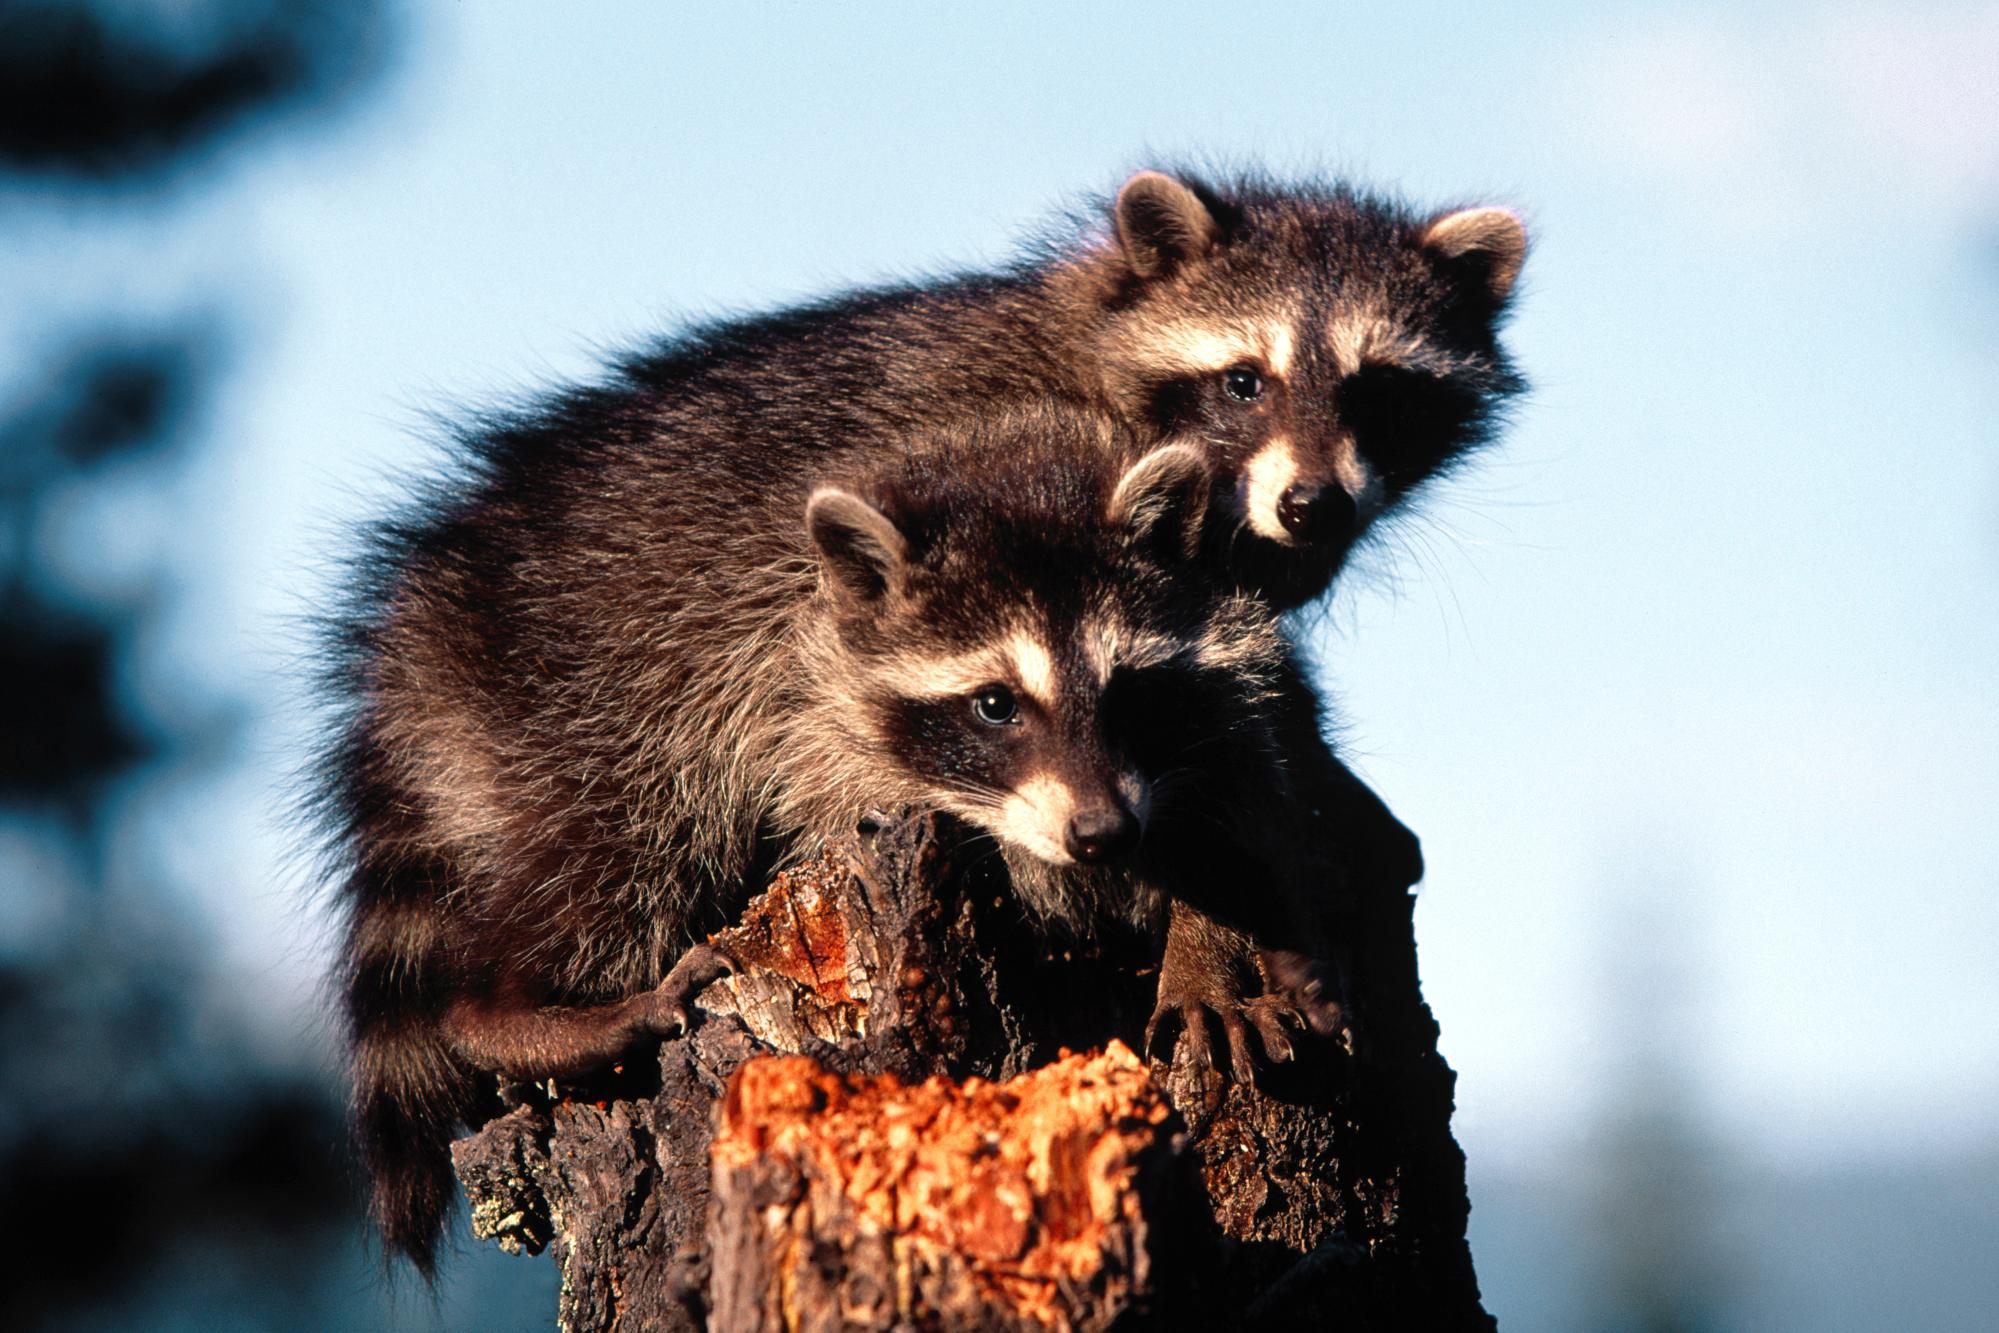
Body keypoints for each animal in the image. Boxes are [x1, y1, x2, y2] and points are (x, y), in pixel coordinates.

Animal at [319, 403, 1383, 1271]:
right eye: (995, 704)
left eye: (1125, 690)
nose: (1102, 832)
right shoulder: (799, 702)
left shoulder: (1225, 661)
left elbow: (1243, 796)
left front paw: (1211, 943)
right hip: (591, 711)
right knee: (613, 848)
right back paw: (505, 1011)